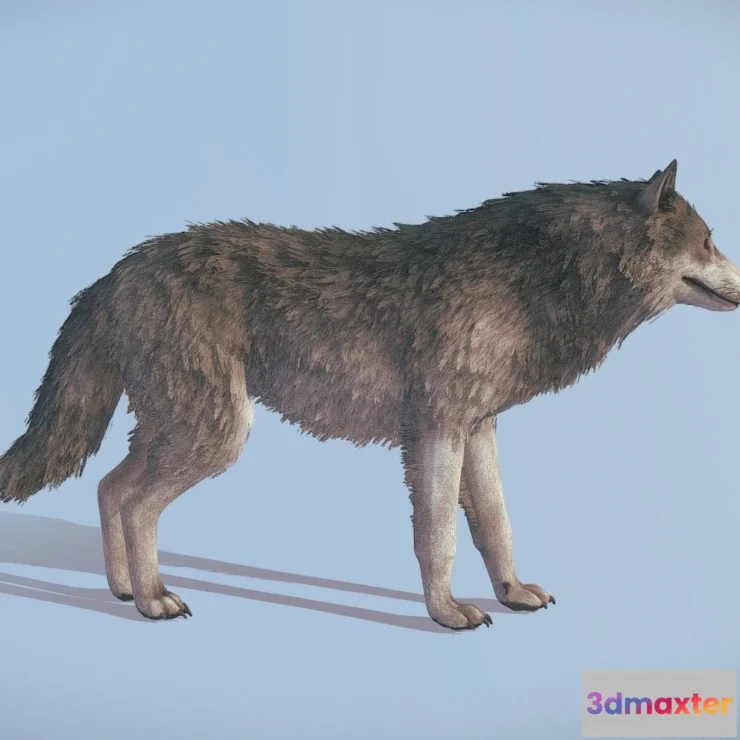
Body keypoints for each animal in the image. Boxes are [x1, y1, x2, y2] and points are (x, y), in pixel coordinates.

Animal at [0, 159, 738, 629]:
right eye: (708, 242)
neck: (531, 277)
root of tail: (117, 269)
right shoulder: (437, 430)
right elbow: (440, 535)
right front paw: (446, 613)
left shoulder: (478, 429)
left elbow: (496, 525)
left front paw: (511, 593)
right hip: (216, 435)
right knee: (133, 501)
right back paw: (153, 597)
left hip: (180, 429)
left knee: (110, 489)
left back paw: (125, 589)